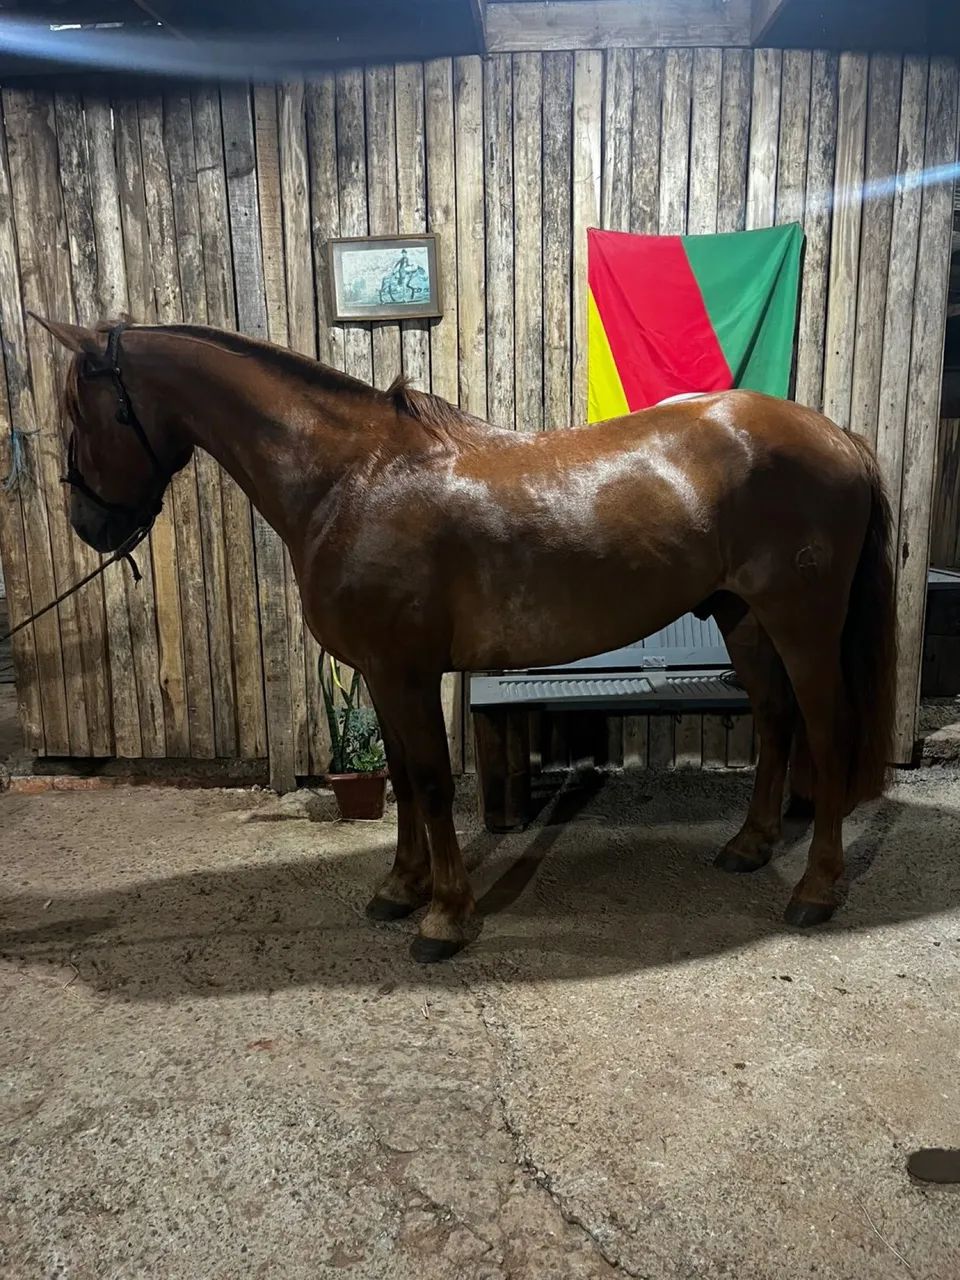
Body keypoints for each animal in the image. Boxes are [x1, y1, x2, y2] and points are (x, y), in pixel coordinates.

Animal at [33, 314, 897, 963]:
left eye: (82, 415)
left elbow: (434, 782)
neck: (352, 478)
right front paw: (398, 889)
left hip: (802, 622)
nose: (89, 525)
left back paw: (814, 890)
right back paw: (749, 847)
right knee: (776, 721)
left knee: (825, 733)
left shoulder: (407, 671)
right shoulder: (382, 673)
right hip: (742, 617)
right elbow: (405, 782)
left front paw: (445, 918)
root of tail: (841, 438)